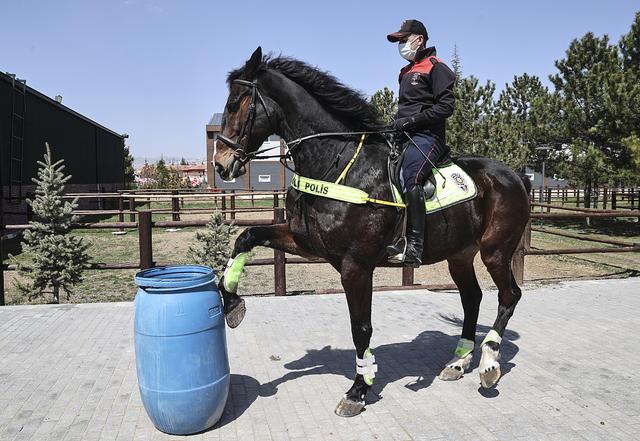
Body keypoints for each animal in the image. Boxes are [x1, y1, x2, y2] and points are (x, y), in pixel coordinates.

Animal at [214, 47, 528, 416]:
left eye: (235, 103)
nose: (221, 163)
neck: (337, 163)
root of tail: (513, 175)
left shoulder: (356, 266)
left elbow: (360, 327)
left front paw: (358, 390)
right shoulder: (305, 243)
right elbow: (245, 237)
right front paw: (231, 301)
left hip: (495, 252)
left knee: (509, 296)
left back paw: (488, 364)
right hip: (459, 256)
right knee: (472, 298)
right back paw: (458, 362)